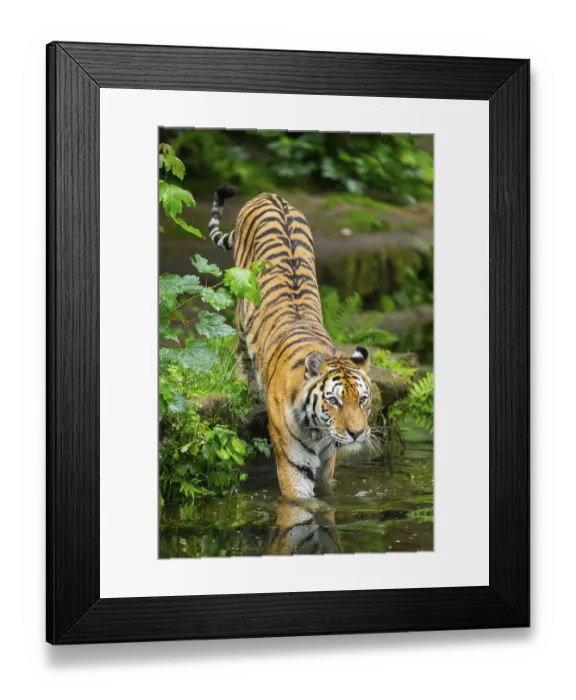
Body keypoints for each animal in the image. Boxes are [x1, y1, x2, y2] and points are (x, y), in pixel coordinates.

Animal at [209, 185, 373, 500]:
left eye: (362, 399)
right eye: (333, 401)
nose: (357, 433)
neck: (318, 429)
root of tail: (269, 195)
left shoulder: (328, 461)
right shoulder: (293, 464)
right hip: (240, 307)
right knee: (240, 351)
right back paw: (247, 386)